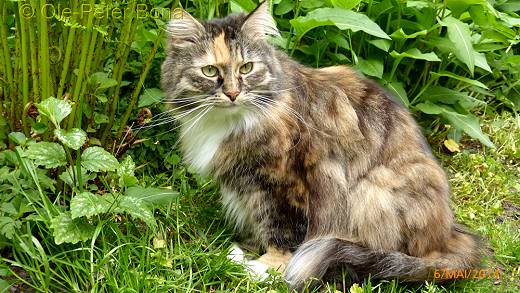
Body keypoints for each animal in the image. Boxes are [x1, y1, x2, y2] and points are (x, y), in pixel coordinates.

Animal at [160, 1, 482, 290]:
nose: (232, 93)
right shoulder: (248, 186)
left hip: (372, 190)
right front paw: (242, 251)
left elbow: (281, 233)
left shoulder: (284, 184)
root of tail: (448, 235)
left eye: (247, 68)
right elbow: (259, 223)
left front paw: (264, 268)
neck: (229, 123)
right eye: (210, 71)